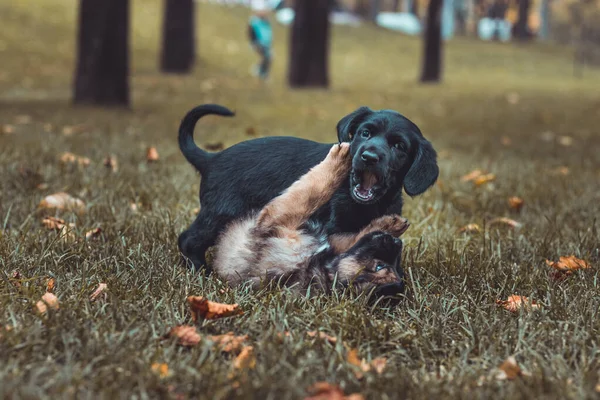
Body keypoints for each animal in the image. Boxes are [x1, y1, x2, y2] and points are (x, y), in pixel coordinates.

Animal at [176, 104, 438, 272]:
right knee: (187, 240)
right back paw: (200, 271)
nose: (369, 157)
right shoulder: (332, 229)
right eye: (365, 133)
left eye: (399, 146)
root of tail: (212, 159)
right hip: (220, 214)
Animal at [213, 142, 410, 298]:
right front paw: (389, 224)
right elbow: (355, 237)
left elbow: (311, 192)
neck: (314, 264)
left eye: (380, 267)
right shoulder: (334, 242)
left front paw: (337, 162)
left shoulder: (278, 220)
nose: (397, 242)